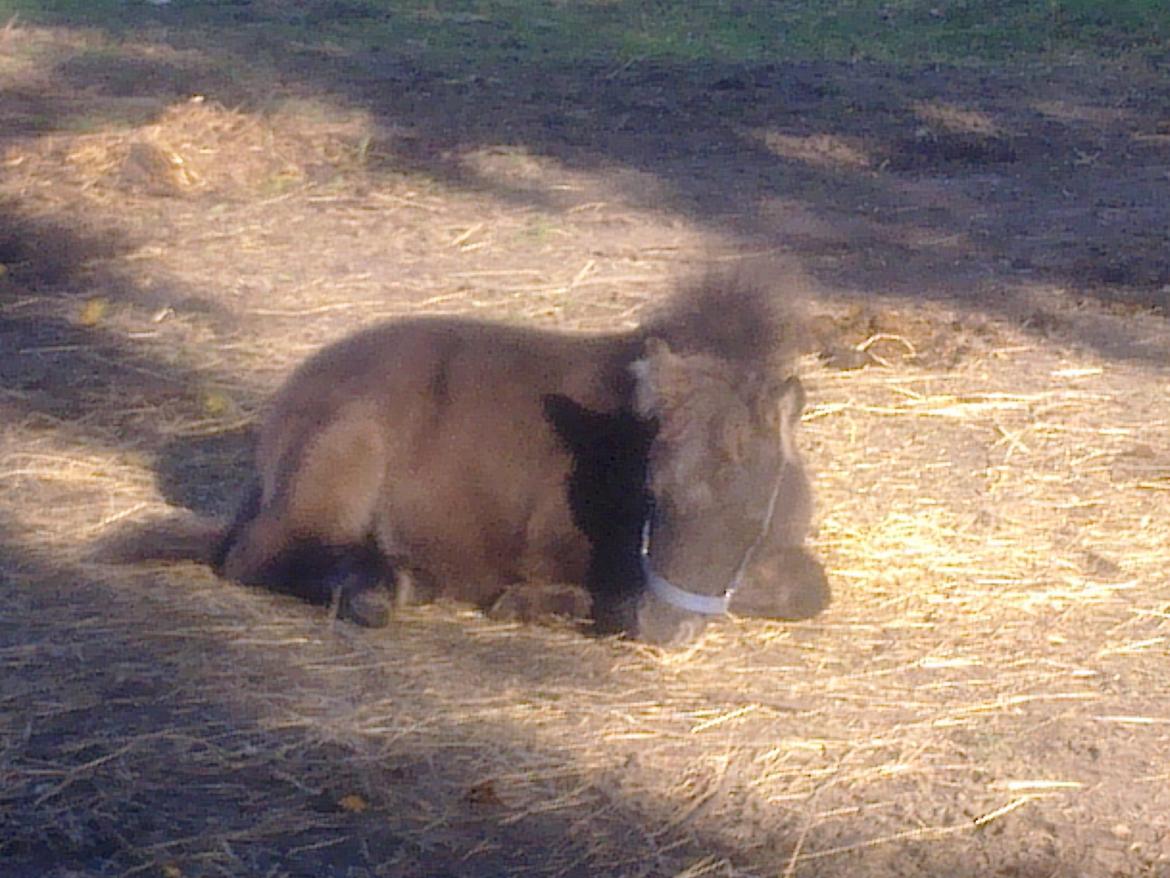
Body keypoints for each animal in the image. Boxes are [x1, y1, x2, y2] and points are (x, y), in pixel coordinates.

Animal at [102, 275, 833, 646]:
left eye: (750, 502)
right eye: (652, 487)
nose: (665, 628)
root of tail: (284, 412)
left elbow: (810, 590)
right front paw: (539, 603)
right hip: (346, 457)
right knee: (253, 556)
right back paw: (381, 591)